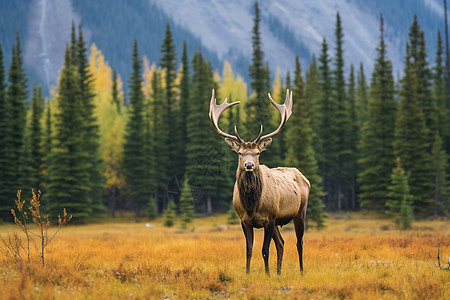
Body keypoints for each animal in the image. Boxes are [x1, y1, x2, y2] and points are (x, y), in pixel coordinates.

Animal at [210, 88, 310, 276]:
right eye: (240, 153)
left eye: (257, 153)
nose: (249, 165)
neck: (252, 205)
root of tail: (303, 177)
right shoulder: (244, 220)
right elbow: (249, 250)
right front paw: (248, 273)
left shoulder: (269, 218)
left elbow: (264, 249)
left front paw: (267, 274)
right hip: (278, 220)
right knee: (282, 243)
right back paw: (279, 272)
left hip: (300, 211)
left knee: (299, 242)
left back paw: (301, 271)